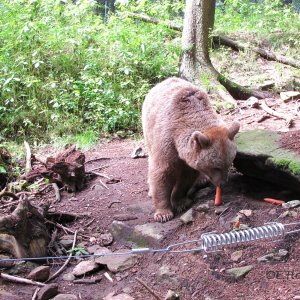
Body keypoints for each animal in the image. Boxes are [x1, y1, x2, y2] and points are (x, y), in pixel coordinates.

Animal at [142, 77, 240, 223]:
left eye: (229, 164)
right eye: (216, 167)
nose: (222, 183)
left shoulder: (189, 157)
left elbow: (186, 176)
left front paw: (180, 201)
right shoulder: (167, 139)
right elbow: (162, 171)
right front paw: (163, 213)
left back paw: (201, 180)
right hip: (148, 129)